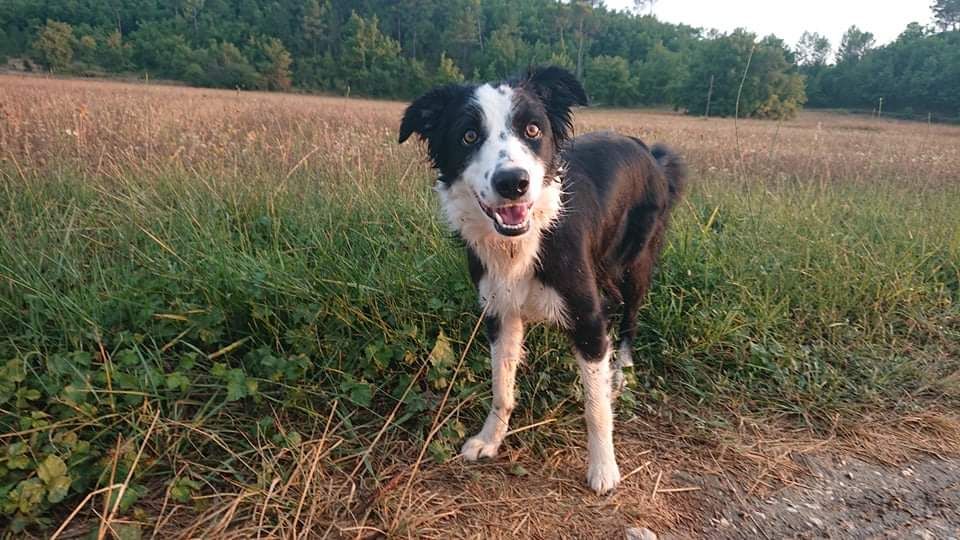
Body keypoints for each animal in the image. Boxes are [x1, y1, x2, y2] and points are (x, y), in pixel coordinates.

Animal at [396, 66, 684, 494]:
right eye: (468, 136)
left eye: (532, 129)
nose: (512, 182)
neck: (523, 241)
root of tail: (648, 150)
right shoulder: (500, 313)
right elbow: (502, 387)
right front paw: (490, 439)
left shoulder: (586, 316)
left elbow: (596, 406)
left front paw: (603, 467)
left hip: (638, 261)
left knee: (630, 318)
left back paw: (621, 372)